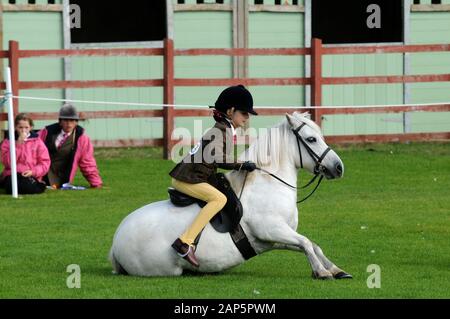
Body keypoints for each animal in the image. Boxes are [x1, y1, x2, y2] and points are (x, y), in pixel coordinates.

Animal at [109, 112, 352, 280]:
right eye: (311, 139)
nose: (338, 167)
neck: (269, 183)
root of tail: (116, 242)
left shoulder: (272, 239)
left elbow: (311, 245)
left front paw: (335, 269)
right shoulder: (272, 229)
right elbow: (306, 243)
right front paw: (322, 272)